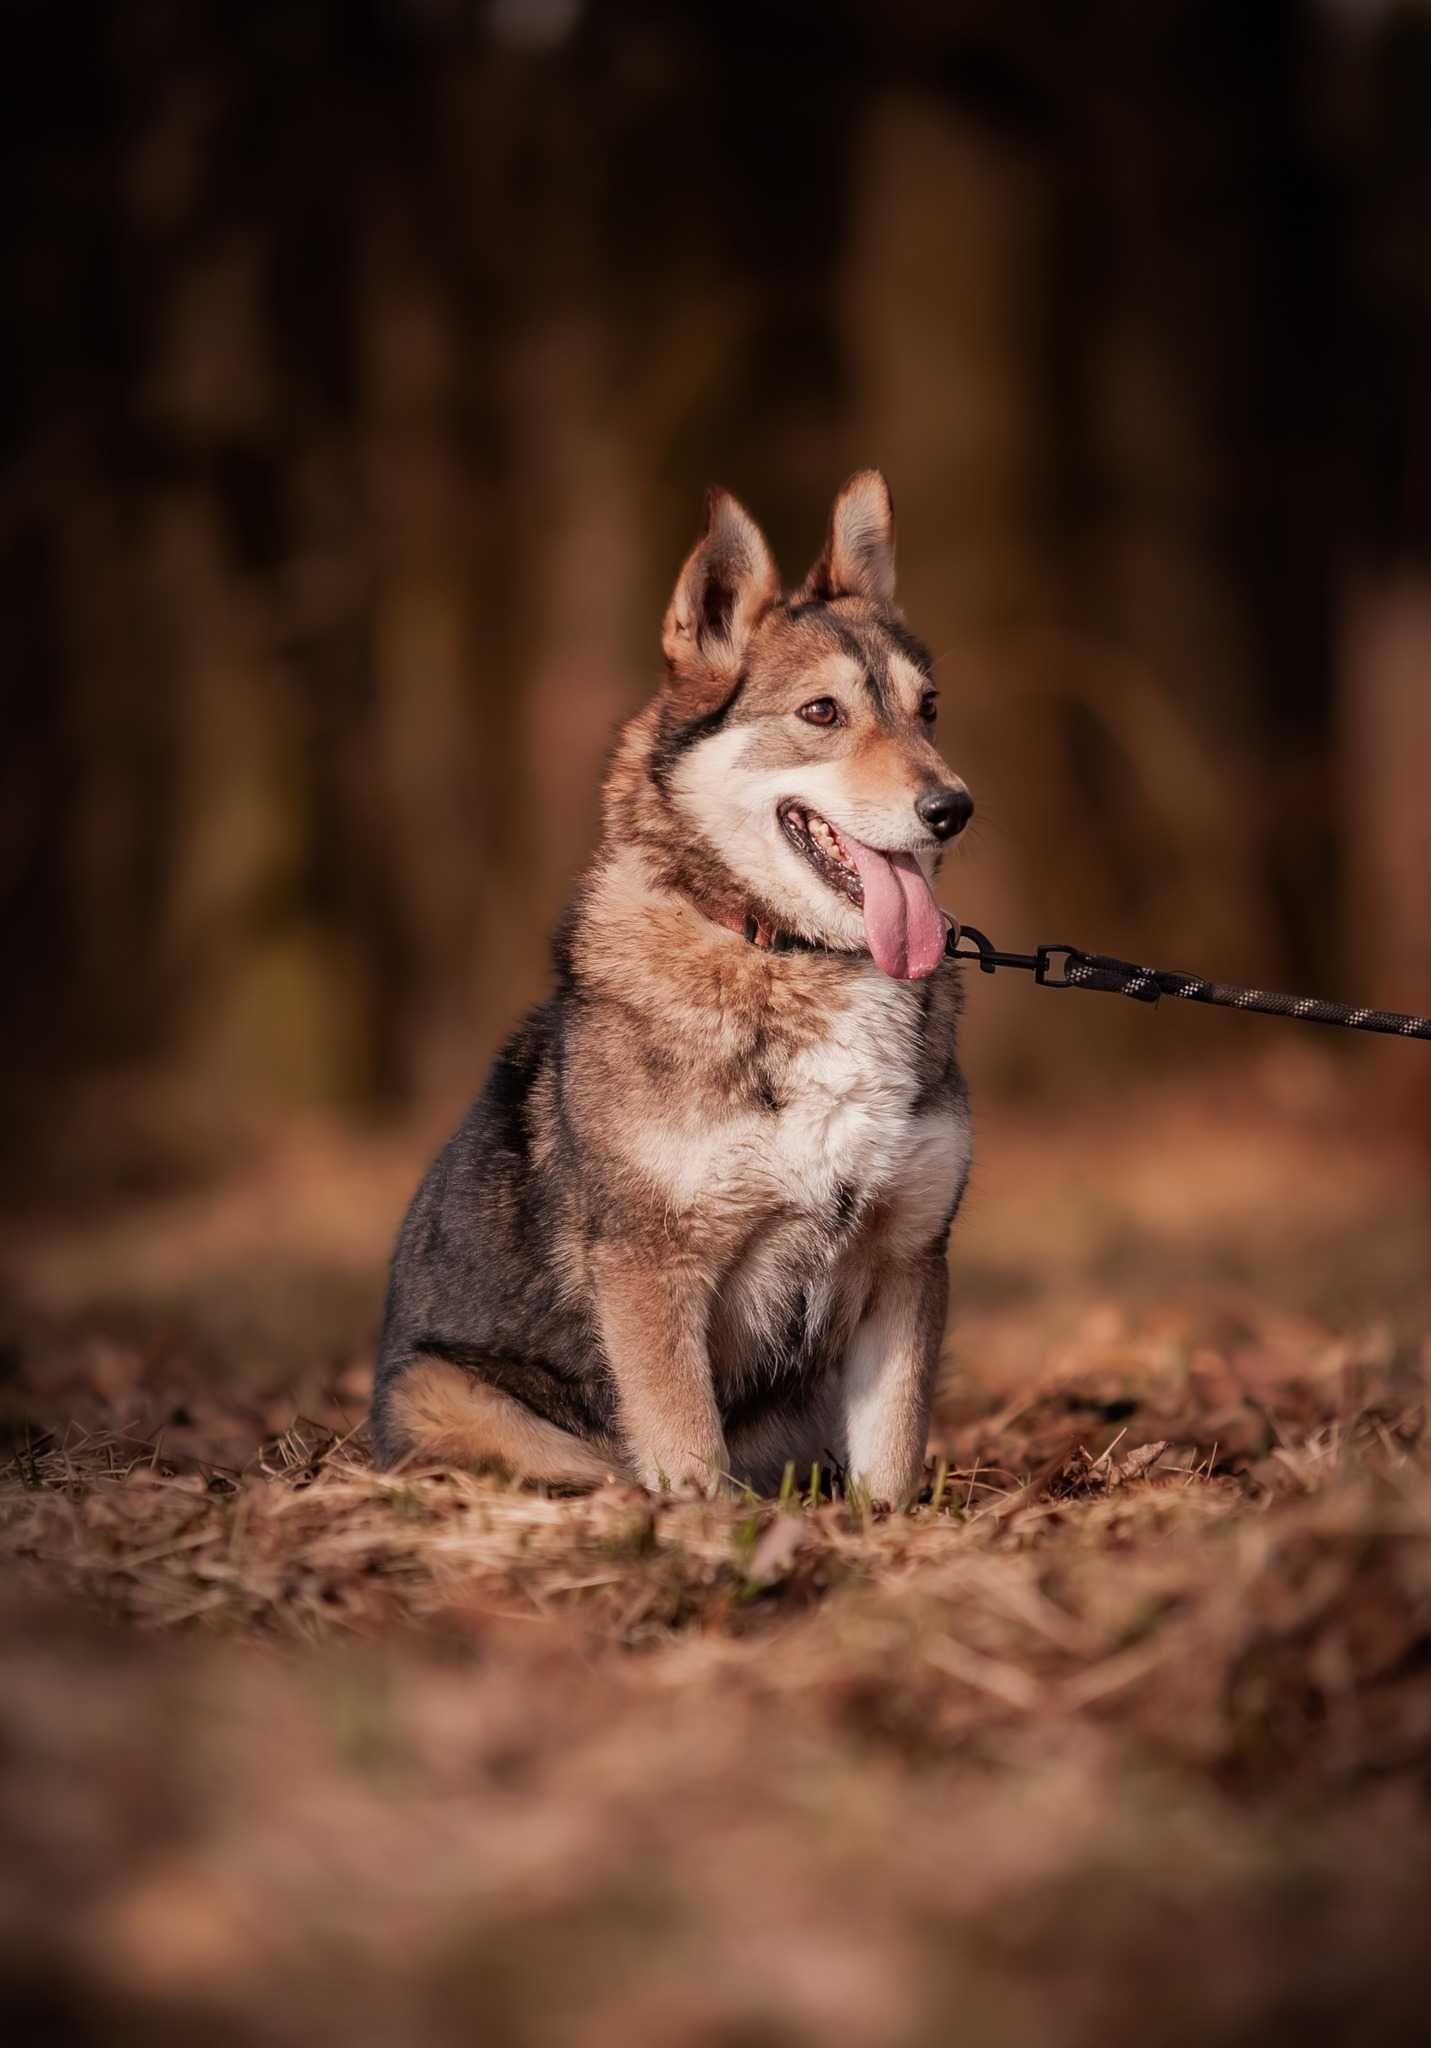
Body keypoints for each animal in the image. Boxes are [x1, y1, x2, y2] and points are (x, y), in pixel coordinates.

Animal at [372, 475, 974, 1507]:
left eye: (926, 708)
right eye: (821, 712)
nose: (954, 809)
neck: (796, 956)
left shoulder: (905, 1259)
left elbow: (891, 1462)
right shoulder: (654, 1265)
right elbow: (689, 1454)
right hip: (440, 1388)